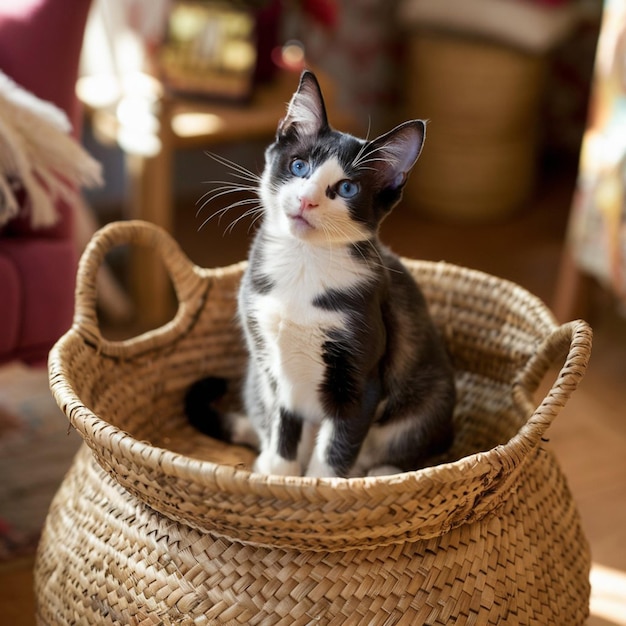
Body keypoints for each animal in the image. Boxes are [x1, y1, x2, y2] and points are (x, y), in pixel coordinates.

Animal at [184, 69, 454, 478]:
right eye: (299, 166)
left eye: (347, 188)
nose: (307, 199)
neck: (303, 264)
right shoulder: (273, 367)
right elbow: (284, 422)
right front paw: (280, 473)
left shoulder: (362, 378)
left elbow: (338, 445)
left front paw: (322, 484)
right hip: (255, 380)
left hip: (429, 399)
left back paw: (381, 473)